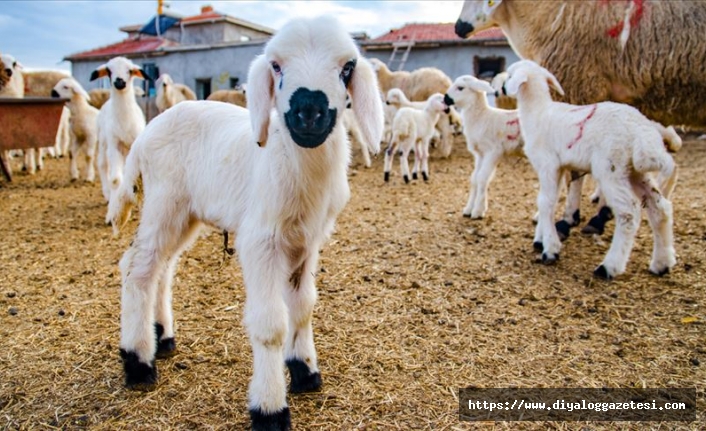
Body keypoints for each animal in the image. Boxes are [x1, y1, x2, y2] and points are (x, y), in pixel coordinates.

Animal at [90, 56, 146, 206]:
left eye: (130, 70)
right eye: (109, 71)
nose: (119, 81)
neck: (125, 121)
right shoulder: (114, 144)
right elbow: (115, 179)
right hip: (103, 143)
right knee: (103, 165)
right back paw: (108, 194)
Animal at [104, 14, 382, 431]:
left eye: (347, 67)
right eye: (276, 65)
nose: (309, 111)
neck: (295, 166)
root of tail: (147, 132)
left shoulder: (309, 239)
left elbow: (303, 306)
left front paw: (305, 371)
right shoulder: (260, 241)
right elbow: (270, 325)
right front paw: (270, 408)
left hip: (185, 213)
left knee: (162, 268)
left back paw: (162, 337)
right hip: (164, 200)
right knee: (138, 267)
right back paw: (138, 362)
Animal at [446, 74, 524, 219]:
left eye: (460, 88)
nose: (445, 98)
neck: (483, 117)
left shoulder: (493, 151)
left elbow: (482, 178)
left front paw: (477, 211)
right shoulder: (480, 154)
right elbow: (475, 178)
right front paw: (469, 209)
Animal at [504, 60, 680, 280]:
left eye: (509, 75)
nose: (501, 88)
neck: (539, 112)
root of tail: (642, 131)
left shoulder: (547, 164)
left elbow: (544, 202)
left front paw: (550, 249)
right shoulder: (559, 167)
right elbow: (549, 201)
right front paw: (541, 239)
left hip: (611, 167)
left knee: (629, 213)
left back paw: (609, 267)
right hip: (634, 171)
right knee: (660, 208)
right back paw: (662, 263)